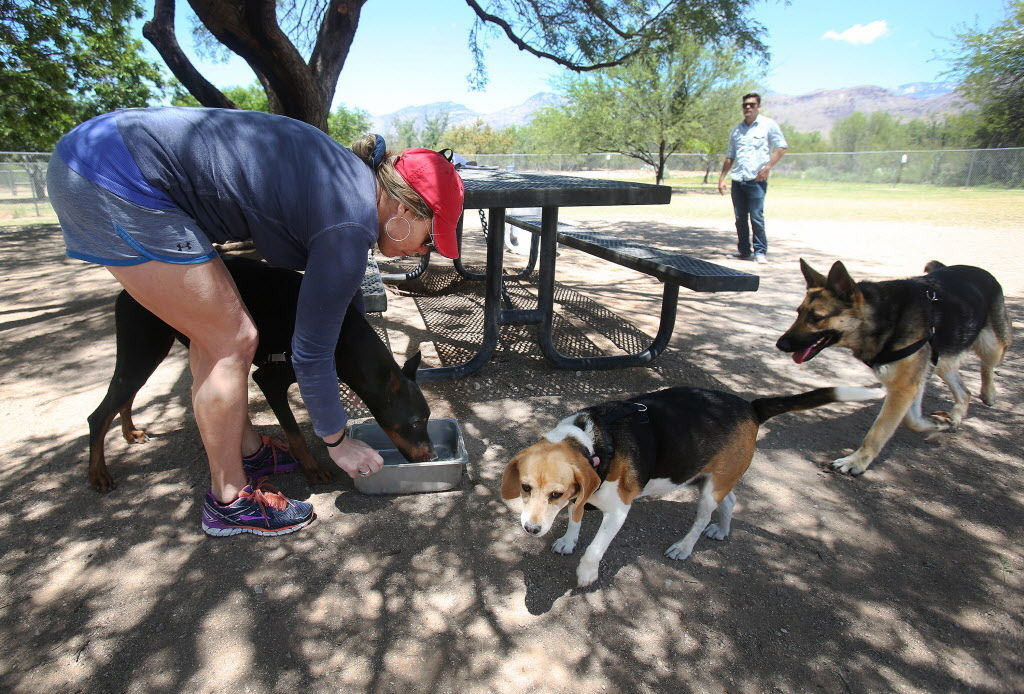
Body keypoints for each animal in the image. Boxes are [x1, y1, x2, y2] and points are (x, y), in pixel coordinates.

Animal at [499, 386, 876, 585]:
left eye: (556, 494)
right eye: (525, 488)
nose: (531, 529)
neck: (594, 443)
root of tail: (750, 405)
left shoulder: (617, 511)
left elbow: (595, 547)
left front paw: (586, 572)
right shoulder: (583, 495)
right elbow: (576, 518)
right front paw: (568, 540)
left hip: (708, 491)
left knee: (702, 518)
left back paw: (685, 546)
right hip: (710, 478)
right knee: (730, 501)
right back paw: (722, 529)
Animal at [774, 261, 1007, 479]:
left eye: (816, 318)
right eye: (798, 313)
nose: (780, 344)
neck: (883, 318)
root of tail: (977, 270)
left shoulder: (903, 387)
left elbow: (877, 432)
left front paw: (855, 462)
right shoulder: (912, 383)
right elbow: (913, 421)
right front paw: (935, 425)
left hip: (991, 347)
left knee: (989, 364)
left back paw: (989, 393)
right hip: (942, 362)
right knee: (964, 392)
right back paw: (956, 417)